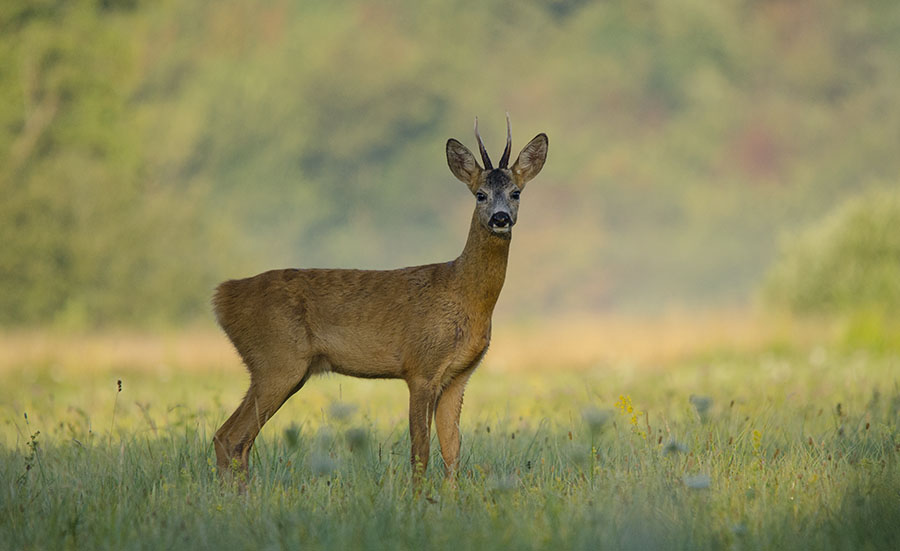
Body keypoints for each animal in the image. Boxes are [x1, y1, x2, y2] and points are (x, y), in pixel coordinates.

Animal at [213, 116, 548, 484]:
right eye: (480, 194)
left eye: (516, 193)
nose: (500, 218)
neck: (463, 294)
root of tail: (222, 296)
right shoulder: (420, 367)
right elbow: (420, 452)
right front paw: (420, 497)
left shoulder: (459, 376)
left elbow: (453, 451)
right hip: (277, 360)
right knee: (230, 436)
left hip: (282, 368)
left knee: (234, 439)